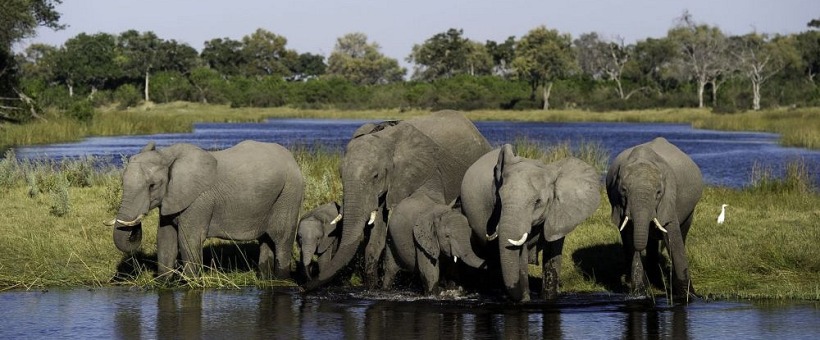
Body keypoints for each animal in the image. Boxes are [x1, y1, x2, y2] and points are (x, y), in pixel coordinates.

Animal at [304, 111, 490, 290]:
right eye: (341, 176)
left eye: (375, 176)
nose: (304, 287)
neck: (385, 137)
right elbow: (377, 228)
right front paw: (372, 289)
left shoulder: (419, 173)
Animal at [462, 145, 604, 302]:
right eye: (498, 199)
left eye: (537, 202)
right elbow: (521, 254)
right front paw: (525, 300)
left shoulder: (560, 213)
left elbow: (553, 251)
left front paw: (548, 298)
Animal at [604, 135, 700, 300]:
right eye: (623, 190)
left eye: (658, 192)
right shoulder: (618, 202)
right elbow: (629, 237)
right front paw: (639, 294)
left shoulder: (669, 198)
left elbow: (672, 236)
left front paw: (688, 296)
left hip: (690, 209)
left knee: (682, 232)